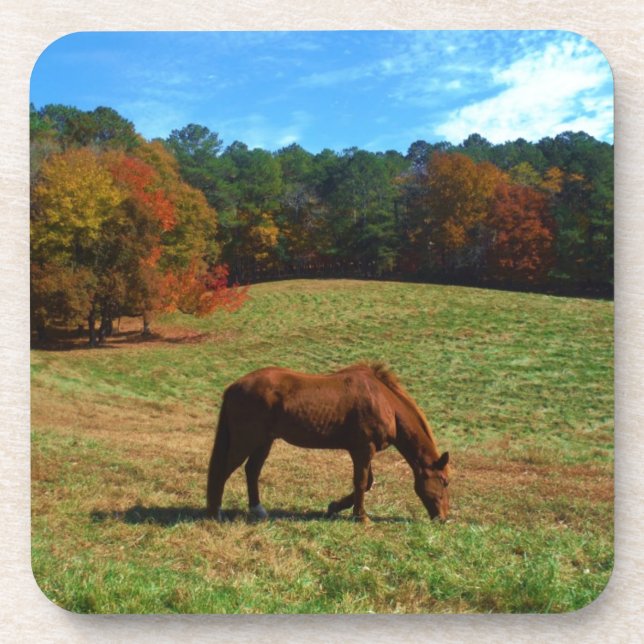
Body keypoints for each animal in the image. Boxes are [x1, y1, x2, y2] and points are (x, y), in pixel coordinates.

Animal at [206, 362, 450, 523]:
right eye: (444, 482)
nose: (444, 518)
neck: (384, 401)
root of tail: (234, 387)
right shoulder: (363, 449)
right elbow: (362, 482)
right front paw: (361, 517)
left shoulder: (363, 450)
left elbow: (368, 482)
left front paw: (334, 507)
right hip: (246, 441)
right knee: (223, 471)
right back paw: (215, 513)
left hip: (264, 442)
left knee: (252, 471)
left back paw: (258, 510)